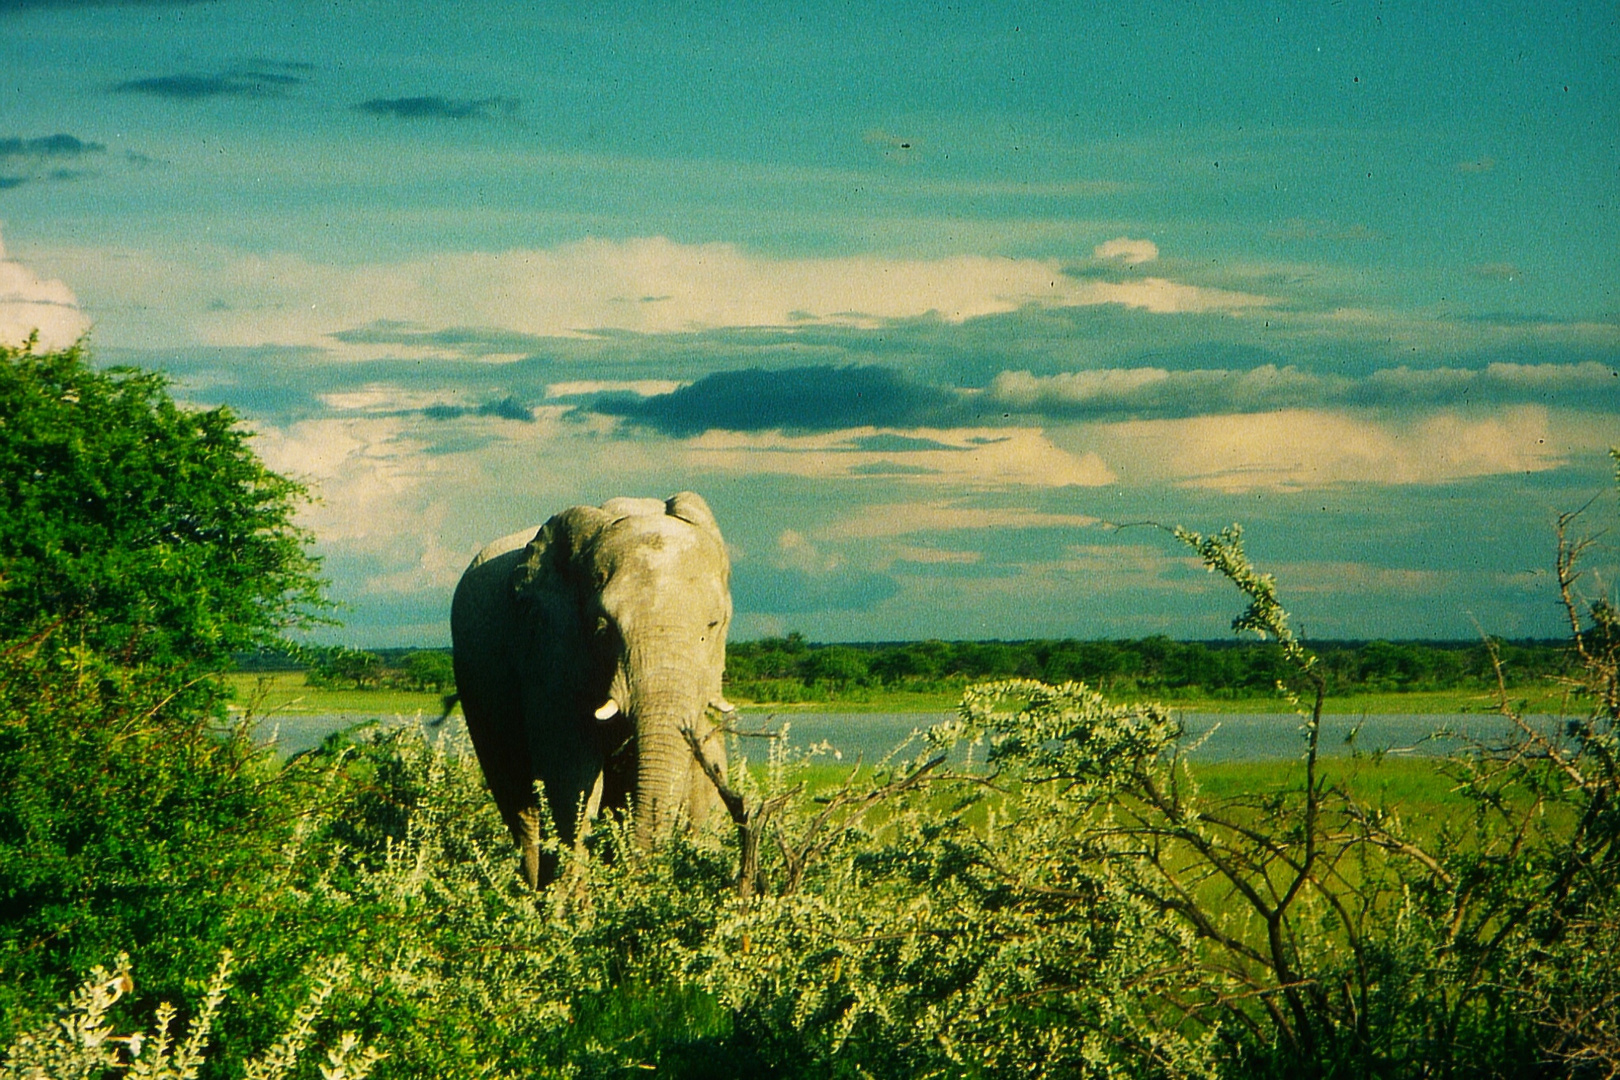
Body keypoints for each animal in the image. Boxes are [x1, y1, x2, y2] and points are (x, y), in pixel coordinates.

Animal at [453, 488, 738, 887]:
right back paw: (531, 891)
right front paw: (571, 902)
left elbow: (702, 767)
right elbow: (571, 771)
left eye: (713, 625)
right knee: (517, 798)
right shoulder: (551, 645)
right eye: (604, 627)